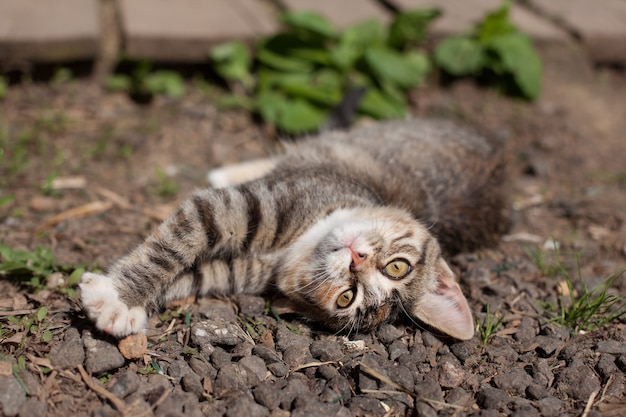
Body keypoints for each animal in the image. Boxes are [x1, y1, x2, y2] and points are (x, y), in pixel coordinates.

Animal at [79, 118, 508, 340]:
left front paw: (128, 304)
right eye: (397, 267)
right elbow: (173, 247)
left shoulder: (239, 272)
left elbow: (191, 276)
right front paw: (119, 298)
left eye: (347, 297)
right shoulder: (235, 208)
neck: (297, 245)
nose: (356, 259)